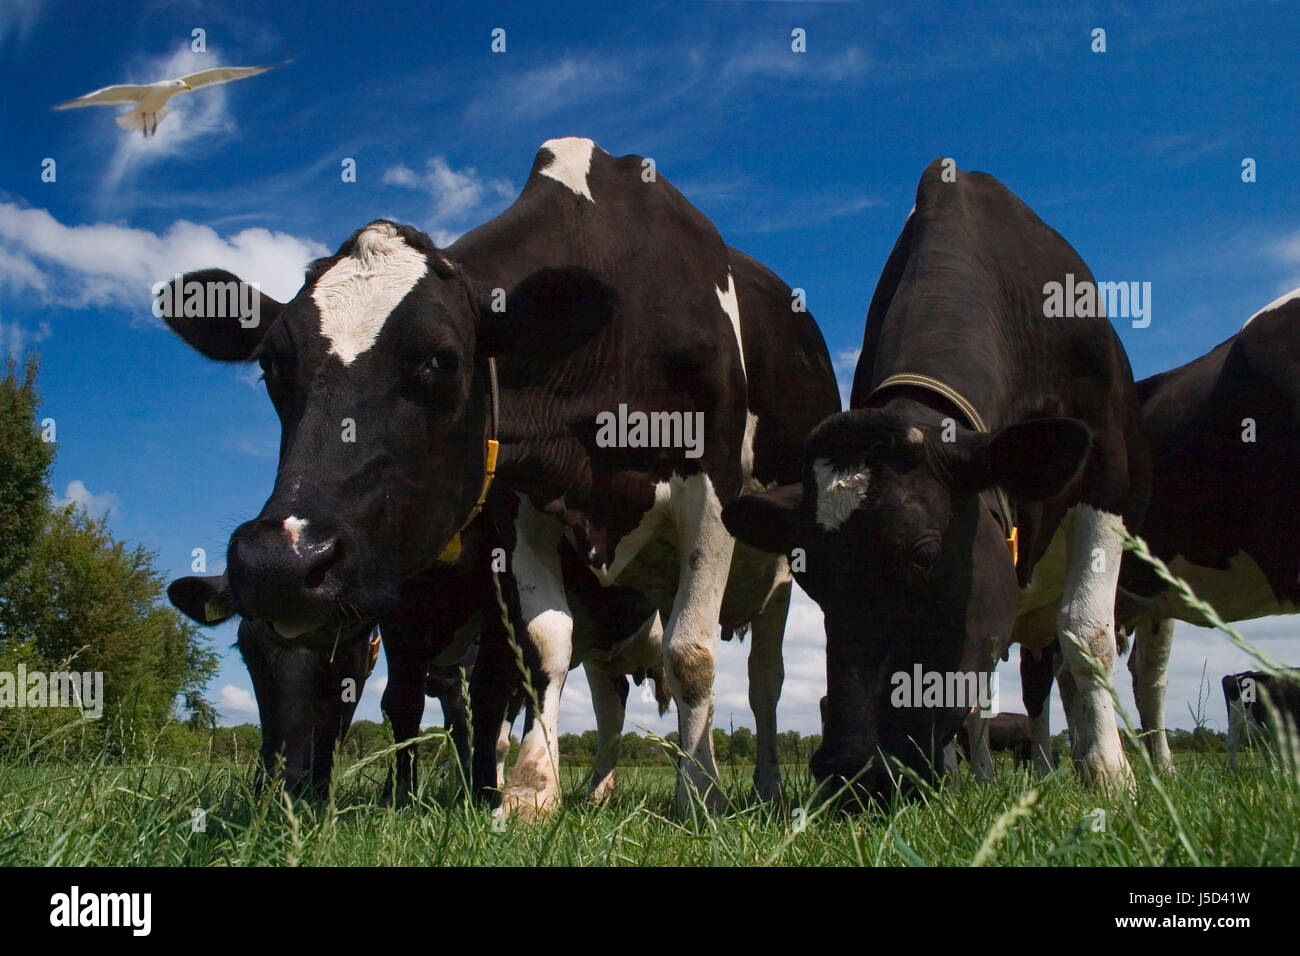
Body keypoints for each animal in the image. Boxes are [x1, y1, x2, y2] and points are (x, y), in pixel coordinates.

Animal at [155, 137, 839, 818]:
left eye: (443, 360)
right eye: (272, 365)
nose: (279, 563)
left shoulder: (711, 485)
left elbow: (690, 654)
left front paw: (699, 794)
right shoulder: (523, 501)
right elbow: (544, 645)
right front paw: (531, 790)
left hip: (778, 570)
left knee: (765, 683)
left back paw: (766, 787)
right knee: (611, 697)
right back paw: (598, 789)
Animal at [722, 159, 1151, 805]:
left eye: (924, 556)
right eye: (810, 579)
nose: (852, 770)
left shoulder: (1107, 468)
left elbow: (1086, 629)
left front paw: (1110, 775)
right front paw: (951, 775)